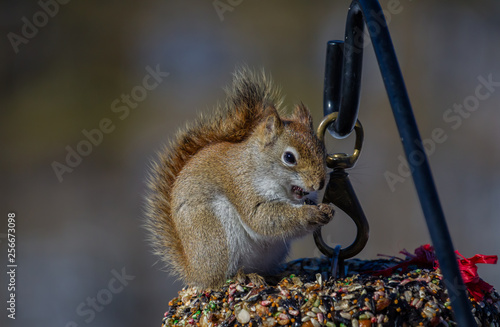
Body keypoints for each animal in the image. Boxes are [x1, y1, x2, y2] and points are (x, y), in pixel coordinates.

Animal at [145, 69, 334, 290]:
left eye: (323, 152)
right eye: (289, 157)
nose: (319, 183)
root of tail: (194, 271)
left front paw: (326, 209)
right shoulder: (242, 186)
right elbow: (260, 217)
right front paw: (308, 213)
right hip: (215, 237)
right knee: (218, 279)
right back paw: (241, 276)